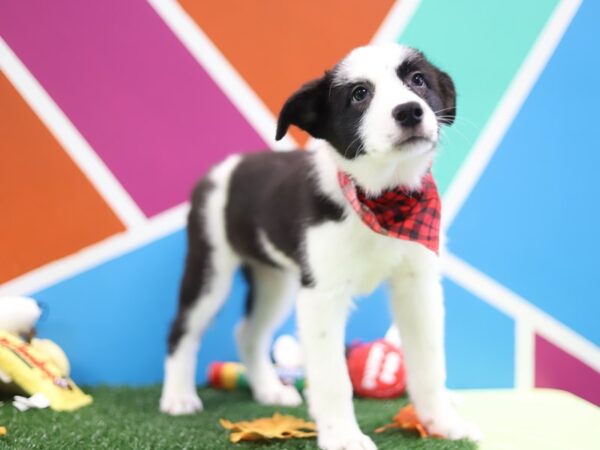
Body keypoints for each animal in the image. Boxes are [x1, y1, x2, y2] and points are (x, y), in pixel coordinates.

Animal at [159, 43, 478, 450]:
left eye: (418, 80)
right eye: (359, 94)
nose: (410, 111)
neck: (380, 197)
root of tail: (226, 166)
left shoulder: (417, 284)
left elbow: (429, 362)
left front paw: (441, 422)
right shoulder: (321, 295)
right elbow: (332, 377)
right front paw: (343, 436)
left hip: (274, 281)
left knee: (248, 332)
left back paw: (269, 390)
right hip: (210, 265)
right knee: (183, 327)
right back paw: (179, 397)